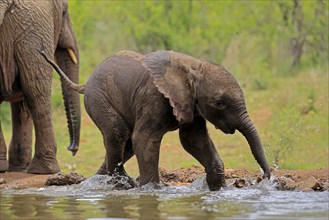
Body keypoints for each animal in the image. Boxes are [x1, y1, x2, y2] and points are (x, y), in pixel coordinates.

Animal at [0, 0, 80, 174]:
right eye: (64, 12)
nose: (72, 149)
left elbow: (21, 102)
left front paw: (19, 169)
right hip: (33, 32)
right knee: (38, 94)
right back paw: (46, 169)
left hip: (28, 32)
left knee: (33, 93)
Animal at [39, 49, 270, 190]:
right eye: (219, 103)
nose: (265, 177)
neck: (193, 66)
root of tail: (85, 83)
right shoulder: (154, 98)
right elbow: (145, 140)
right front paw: (152, 190)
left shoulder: (191, 104)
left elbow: (193, 140)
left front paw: (216, 186)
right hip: (98, 98)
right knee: (118, 133)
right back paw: (121, 183)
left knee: (126, 143)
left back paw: (100, 181)